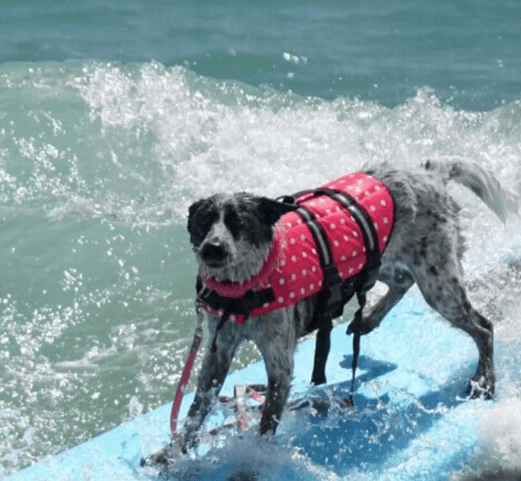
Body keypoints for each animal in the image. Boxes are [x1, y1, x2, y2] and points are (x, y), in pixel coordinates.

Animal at [182, 160, 516, 450]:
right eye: (203, 223)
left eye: (239, 222)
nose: (213, 248)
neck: (243, 289)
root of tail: (429, 172)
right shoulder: (218, 351)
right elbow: (194, 411)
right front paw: (178, 453)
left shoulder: (280, 363)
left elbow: (266, 425)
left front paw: (253, 458)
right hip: (374, 260)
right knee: (402, 280)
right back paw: (366, 320)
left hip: (438, 284)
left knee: (483, 327)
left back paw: (484, 379)